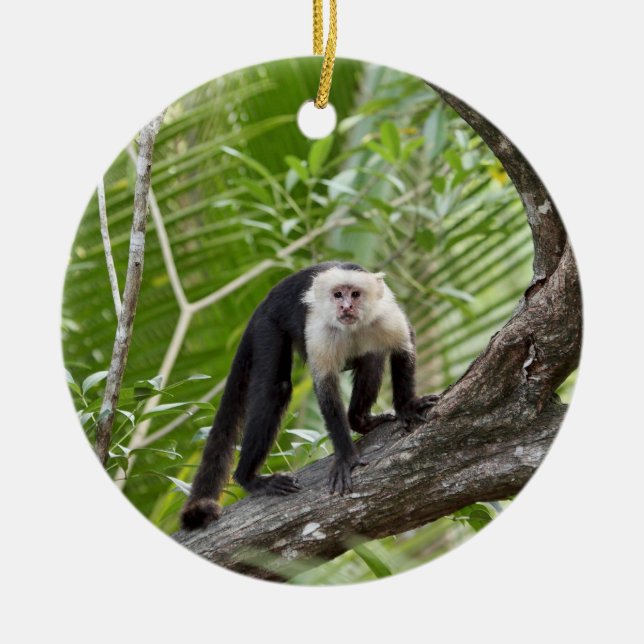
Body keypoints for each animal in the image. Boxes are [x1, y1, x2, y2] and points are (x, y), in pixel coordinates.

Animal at [180, 262, 436, 530]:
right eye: (338, 295)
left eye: (355, 294)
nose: (346, 307)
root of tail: (265, 301)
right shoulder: (319, 329)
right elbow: (325, 388)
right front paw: (346, 458)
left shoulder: (385, 314)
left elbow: (404, 345)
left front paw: (406, 407)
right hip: (267, 325)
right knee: (276, 389)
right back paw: (248, 478)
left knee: (371, 356)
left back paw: (360, 420)